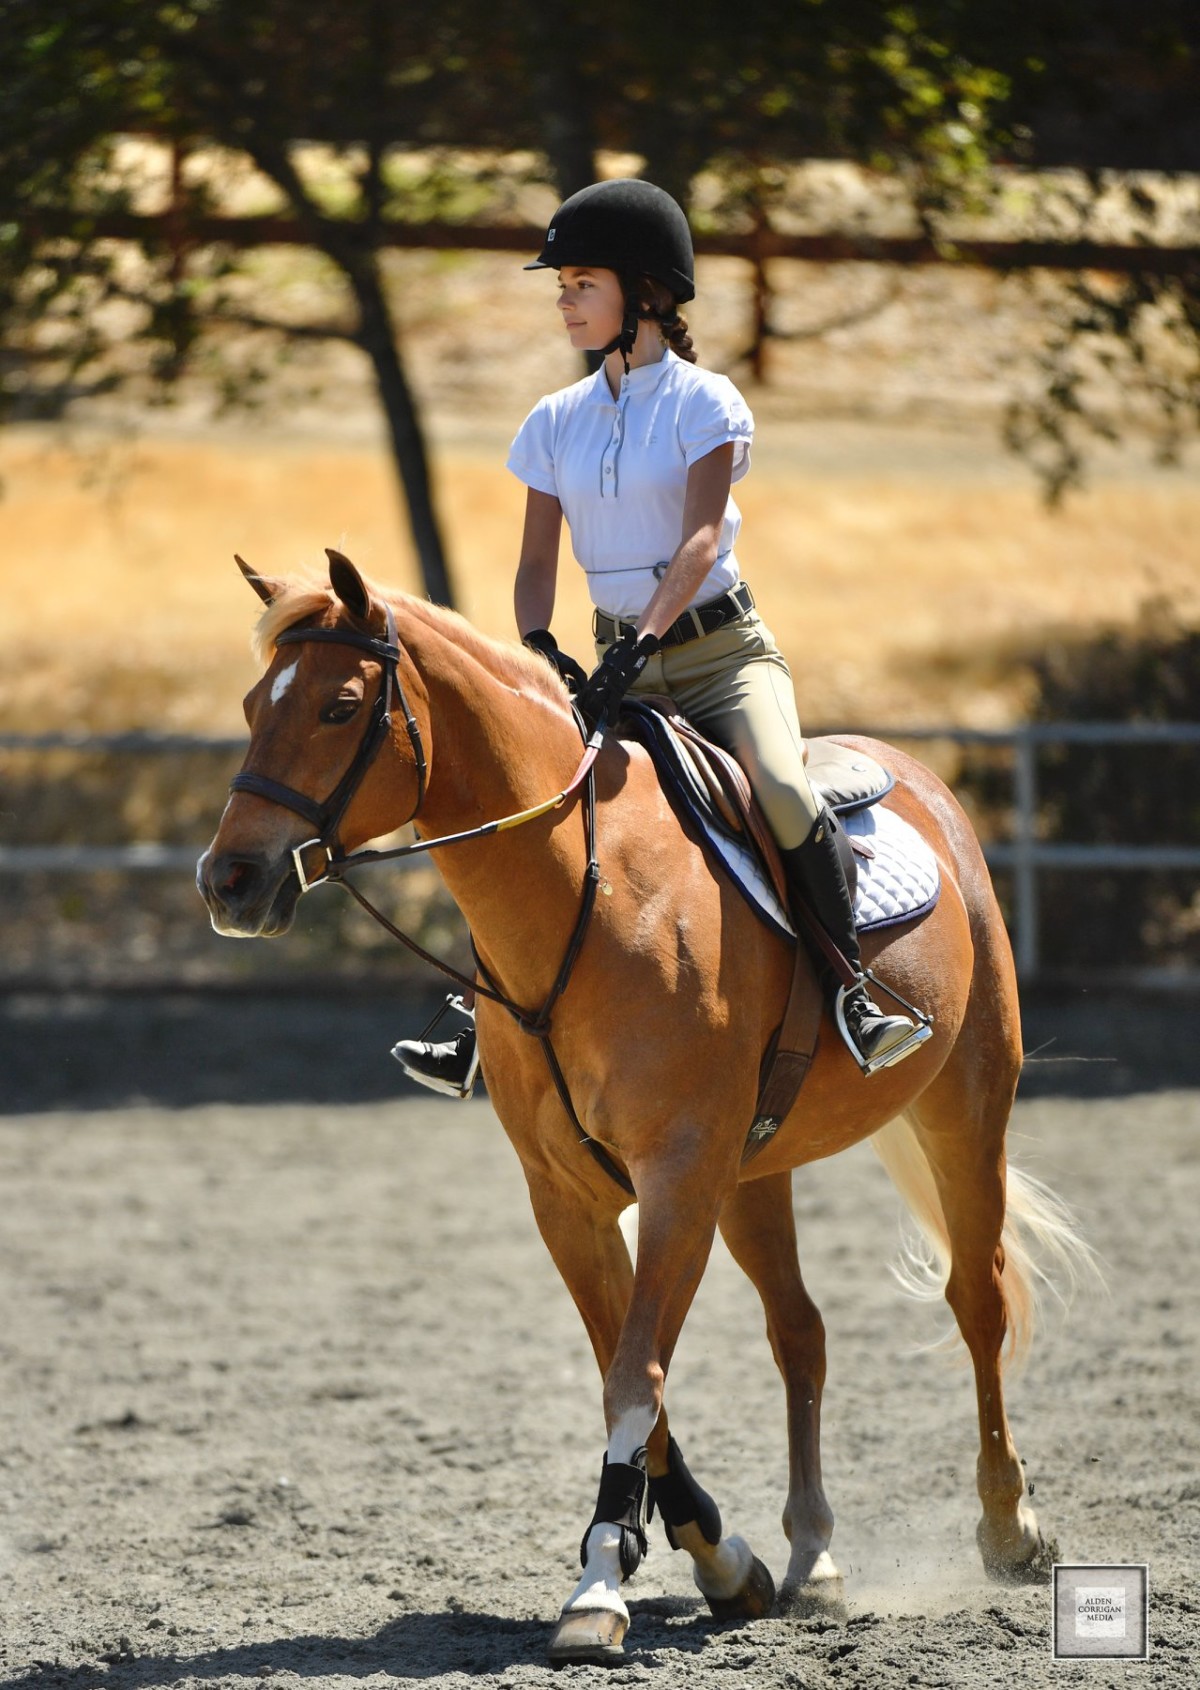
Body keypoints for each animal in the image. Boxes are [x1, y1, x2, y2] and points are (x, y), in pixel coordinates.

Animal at [201, 554, 1095, 1662]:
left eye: (337, 705)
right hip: (753, 1175)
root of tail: (922, 779)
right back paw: (813, 1558)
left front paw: (598, 1587)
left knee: (978, 1297)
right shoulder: (572, 1199)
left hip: (964, 1110)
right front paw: (721, 1558)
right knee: (802, 1332)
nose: (229, 881)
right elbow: (630, 1369)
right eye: (252, 705)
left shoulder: (676, 1175)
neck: (585, 895)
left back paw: (1009, 1526)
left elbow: (635, 1374)